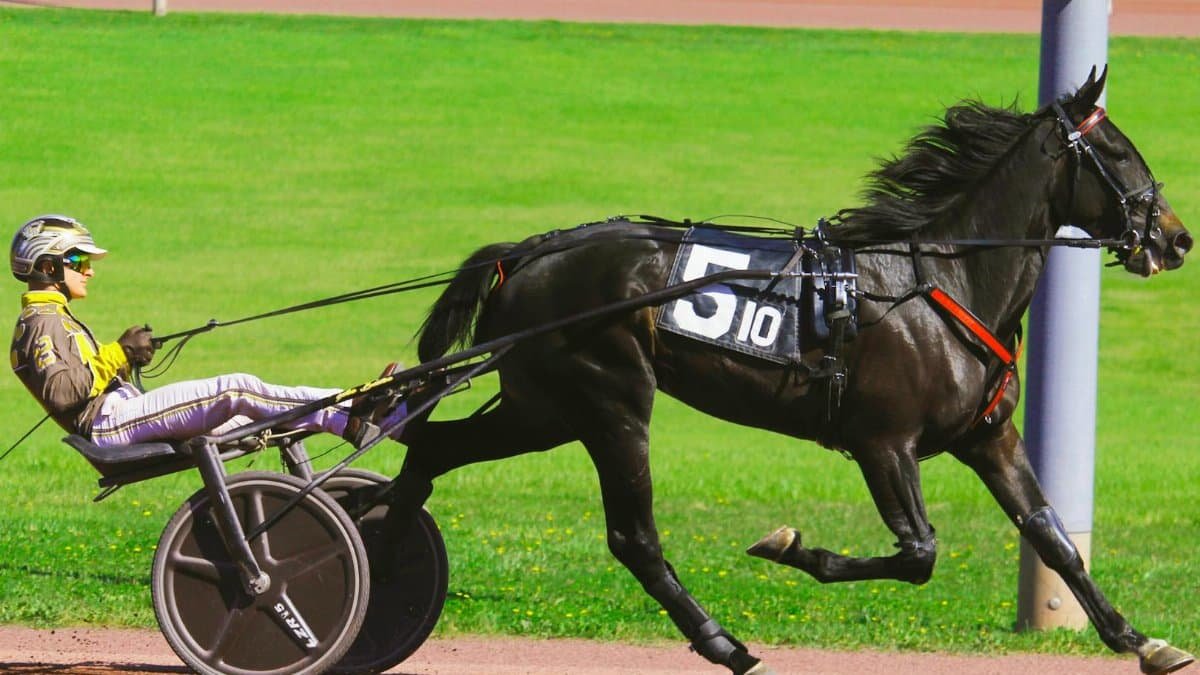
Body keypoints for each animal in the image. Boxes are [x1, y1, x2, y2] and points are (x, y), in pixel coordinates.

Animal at [390, 70, 1194, 674]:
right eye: (1120, 152)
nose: (1177, 238)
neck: (944, 281)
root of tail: (529, 251)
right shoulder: (883, 442)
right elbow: (918, 553)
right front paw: (788, 545)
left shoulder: (987, 437)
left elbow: (1051, 534)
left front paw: (1140, 639)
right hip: (609, 402)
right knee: (633, 537)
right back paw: (726, 643)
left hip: (544, 409)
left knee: (432, 446)